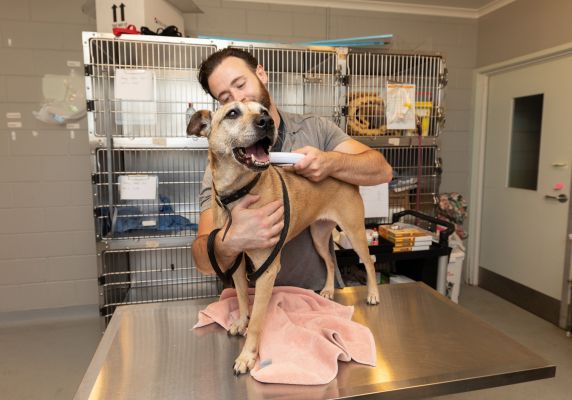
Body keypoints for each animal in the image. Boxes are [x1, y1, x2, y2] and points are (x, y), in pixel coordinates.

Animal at [187, 100, 380, 376]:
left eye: (263, 111)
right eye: (232, 113)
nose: (266, 122)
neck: (238, 193)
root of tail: (342, 176)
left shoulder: (267, 270)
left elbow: (257, 320)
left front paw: (247, 356)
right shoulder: (235, 260)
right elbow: (242, 298)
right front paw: (240, 320)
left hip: (354, 233)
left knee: (369, 263)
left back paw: (373, 294)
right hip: (319, 236)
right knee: (330, 262)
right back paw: (328, 290)